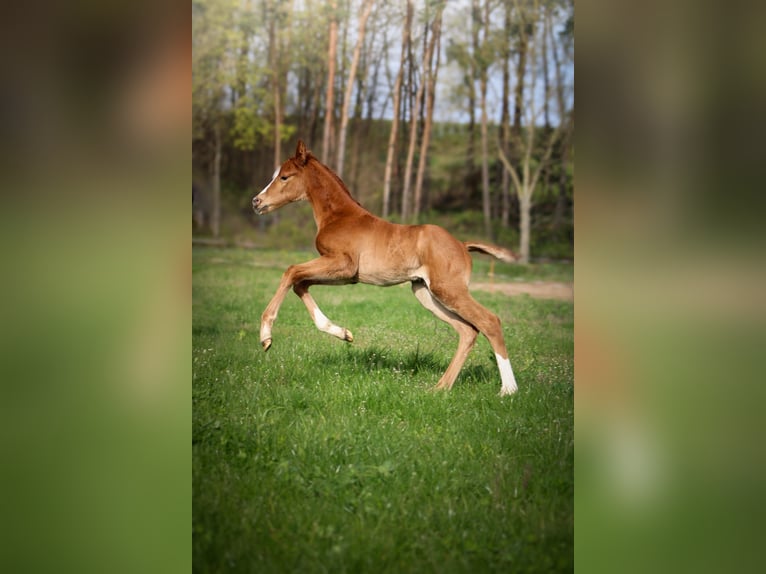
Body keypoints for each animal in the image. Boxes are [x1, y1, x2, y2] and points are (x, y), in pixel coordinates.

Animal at [255, 142, 520, 398]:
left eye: (284, 177)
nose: (257, 202)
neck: (339, 216)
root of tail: (462, 245)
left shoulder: (342, 264)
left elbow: (291, 272)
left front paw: (266, 337)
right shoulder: (346, 276)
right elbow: (300, 283)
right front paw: (343, 333)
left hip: (448, 290)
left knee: (489, 321)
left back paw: (508, 390)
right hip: (425, 293)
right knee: (468, 331)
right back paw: (440, 388)